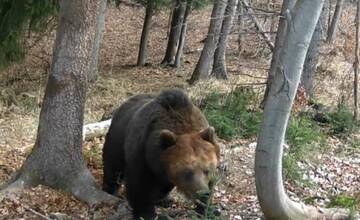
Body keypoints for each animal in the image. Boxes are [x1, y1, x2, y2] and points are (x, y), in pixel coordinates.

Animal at [101, 88, 219, 219]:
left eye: (207, 170)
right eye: (187, 172)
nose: (201, 192)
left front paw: (206, 210)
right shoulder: (142, 154)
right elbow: (139, 188)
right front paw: (145, 214)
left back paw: (165, 200)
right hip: (117, 139)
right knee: (113, 166)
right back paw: (110, 189)